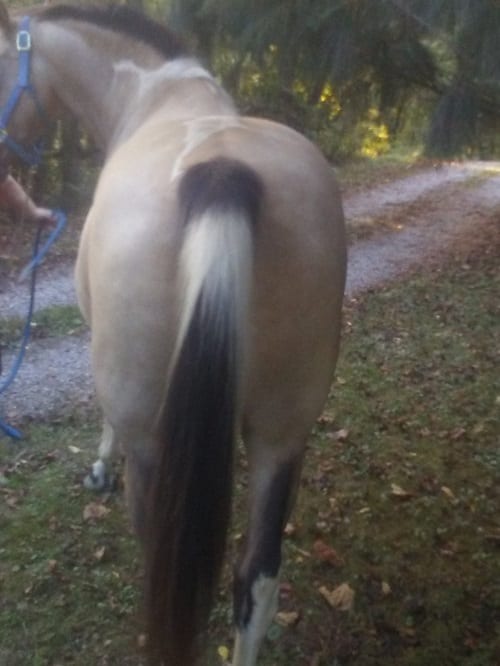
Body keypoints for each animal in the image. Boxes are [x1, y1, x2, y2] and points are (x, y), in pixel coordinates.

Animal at [0, 5, 346, 665]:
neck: (153, 95)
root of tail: (221, 174)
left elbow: (105, 419)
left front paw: (98, 470)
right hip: (282, 434)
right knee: (256, 581)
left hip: (156, 442)